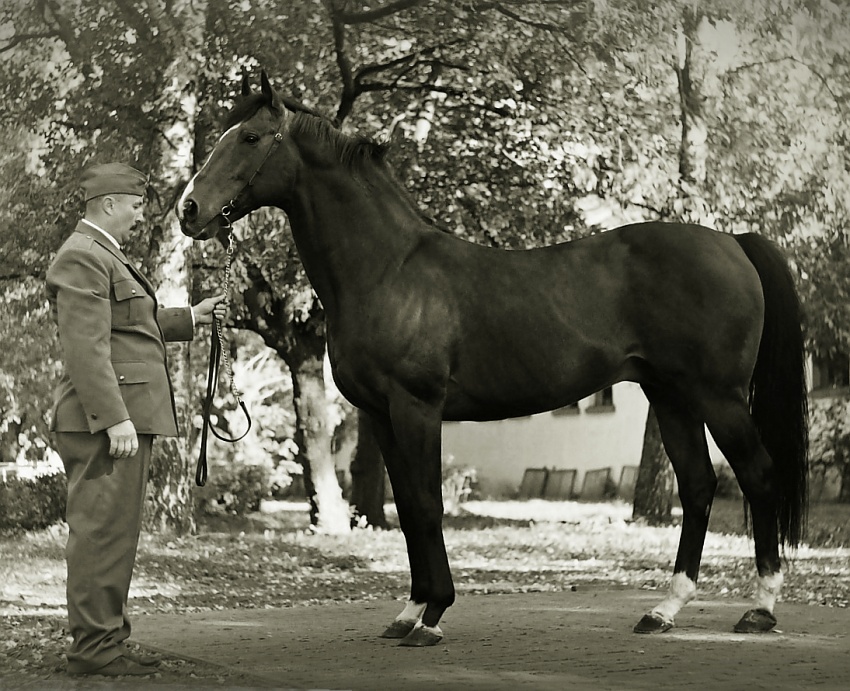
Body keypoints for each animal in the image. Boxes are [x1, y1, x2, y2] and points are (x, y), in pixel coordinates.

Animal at [176, 73, 804, 648]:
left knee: (757, 475)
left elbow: (427, 505)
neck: (388, 269)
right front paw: (408, 612)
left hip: (718, 397)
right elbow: (407, 509)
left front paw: (432, 616)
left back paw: (760, 609)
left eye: (251, 137)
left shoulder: (417, 408)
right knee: (698, 486)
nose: (189, 209)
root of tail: (733, 242)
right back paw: (664, 610)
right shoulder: (381, 416)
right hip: (671, 396)